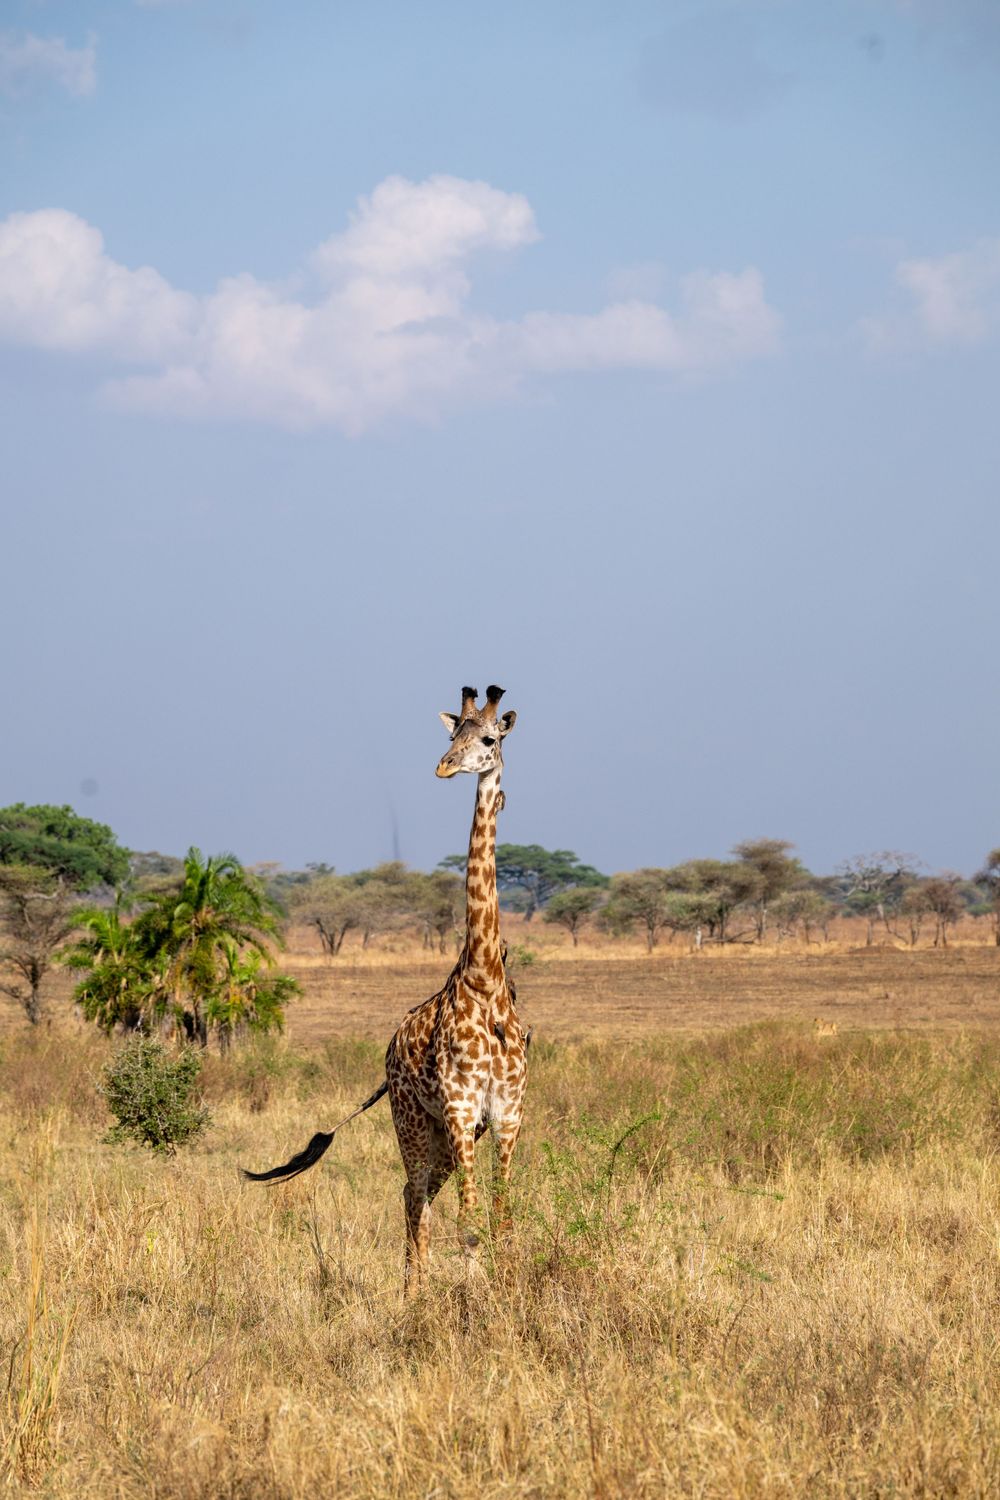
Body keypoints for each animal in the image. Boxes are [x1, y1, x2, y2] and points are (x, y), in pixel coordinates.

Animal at [243, 683, 529, 1298]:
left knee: (421, 1195)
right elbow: (471, 1224)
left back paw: (416, 1287)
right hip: (414, 1121)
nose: (443, 766)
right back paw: (412, 1294)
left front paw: (507, 1290)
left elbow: (501, 1219)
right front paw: (473, 1300)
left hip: (445, 1133)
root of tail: (390, 1048)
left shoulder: (506, 1113)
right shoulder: (461, 1106)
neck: (486, 980)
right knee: (414, 1193)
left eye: (487, 740)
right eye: (453, 735)